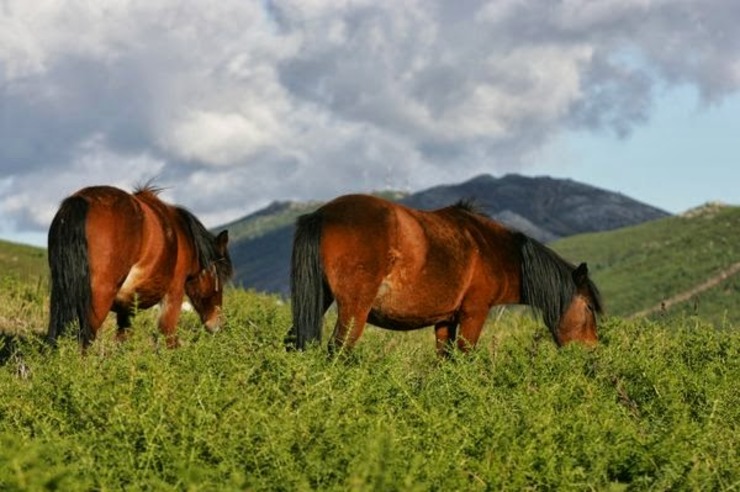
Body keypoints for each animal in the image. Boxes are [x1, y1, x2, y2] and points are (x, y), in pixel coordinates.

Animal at [47, 185, 231, 350]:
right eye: (219, 277)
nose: (217, 324)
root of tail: (81, 200)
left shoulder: (125, 309)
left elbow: (122, 341)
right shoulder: (174, 294)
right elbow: (168, 337)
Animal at [288, 194, 600, 356]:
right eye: (587, 307)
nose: (591, 351)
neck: (492, 249)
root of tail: (322, 214)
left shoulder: (445, 321)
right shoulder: (474, 313)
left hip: (320, 301)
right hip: (354, 310)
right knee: (338, 350)